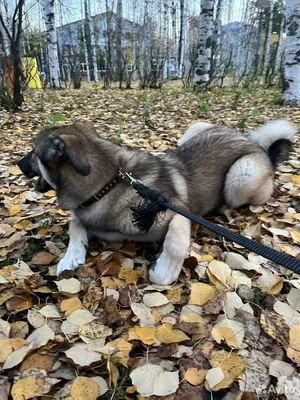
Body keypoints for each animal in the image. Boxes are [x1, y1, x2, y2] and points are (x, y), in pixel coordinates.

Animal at [18, 119, 298, 284]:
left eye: (32, 152)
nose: (18, 163)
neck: (109, 183)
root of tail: (260, 148)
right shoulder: (85, 216)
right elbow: (75, 226)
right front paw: (70, 257)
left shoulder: (177, 211)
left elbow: (174, 243)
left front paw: (162, 272)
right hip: (196, 128)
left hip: (241, 177)